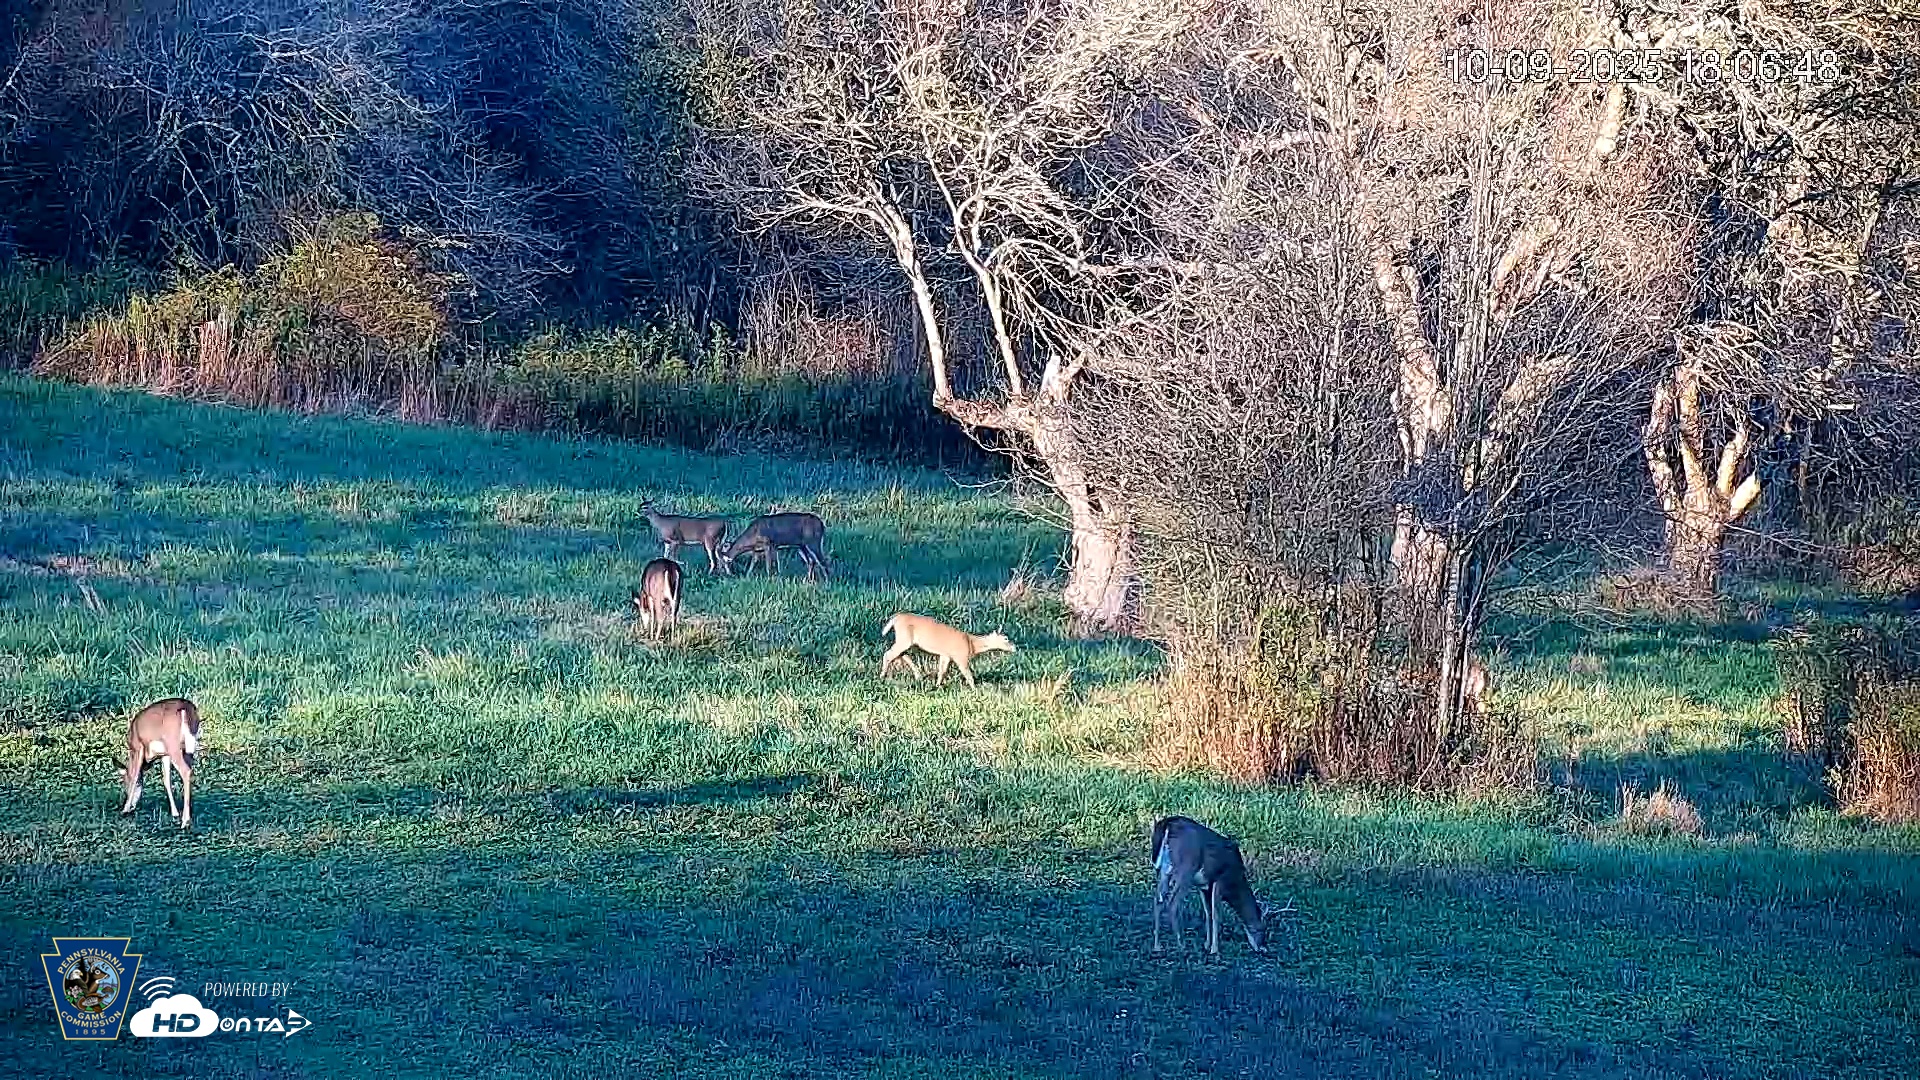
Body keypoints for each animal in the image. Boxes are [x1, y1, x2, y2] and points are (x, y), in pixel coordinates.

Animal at [122, 697, 201, 829]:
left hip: (173, 744)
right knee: (189, 771)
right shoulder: (165, 755)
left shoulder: (138, 747)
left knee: (186, 771)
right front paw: (174, 813)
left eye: (124, 783)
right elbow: (166, 781)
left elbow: (134, 776)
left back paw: (185, 821)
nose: (132, 806)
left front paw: (125, 809)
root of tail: (186, 708)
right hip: (189, 747)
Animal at [879, 613, 1015, 688]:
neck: (971, 643)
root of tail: (896, 618)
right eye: (1006, 638)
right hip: (905, 638)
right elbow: (968, 674)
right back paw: (882, 676)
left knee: (902, 654)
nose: (1014, 647)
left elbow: (942, 671)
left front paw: (937, 685)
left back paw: (918, 676)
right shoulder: (960, 656)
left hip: (906, 640)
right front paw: (975, 689)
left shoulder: (946, 655)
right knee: (889, 654)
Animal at [1151, 815, 1277, 956]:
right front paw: (1214, 950)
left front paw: (1207, 945)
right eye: (1263, 929)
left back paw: (1157, 946)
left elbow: (1208, 913)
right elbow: (1216, 915)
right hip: (1186, 868)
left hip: (1164, 869)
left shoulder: (1204, 886)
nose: (1263, 949)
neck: (1235, 881)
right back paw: (1181, 945)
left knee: (1158, 900)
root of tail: (1167, 825)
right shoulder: (1220, 880)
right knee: (1173, 903)